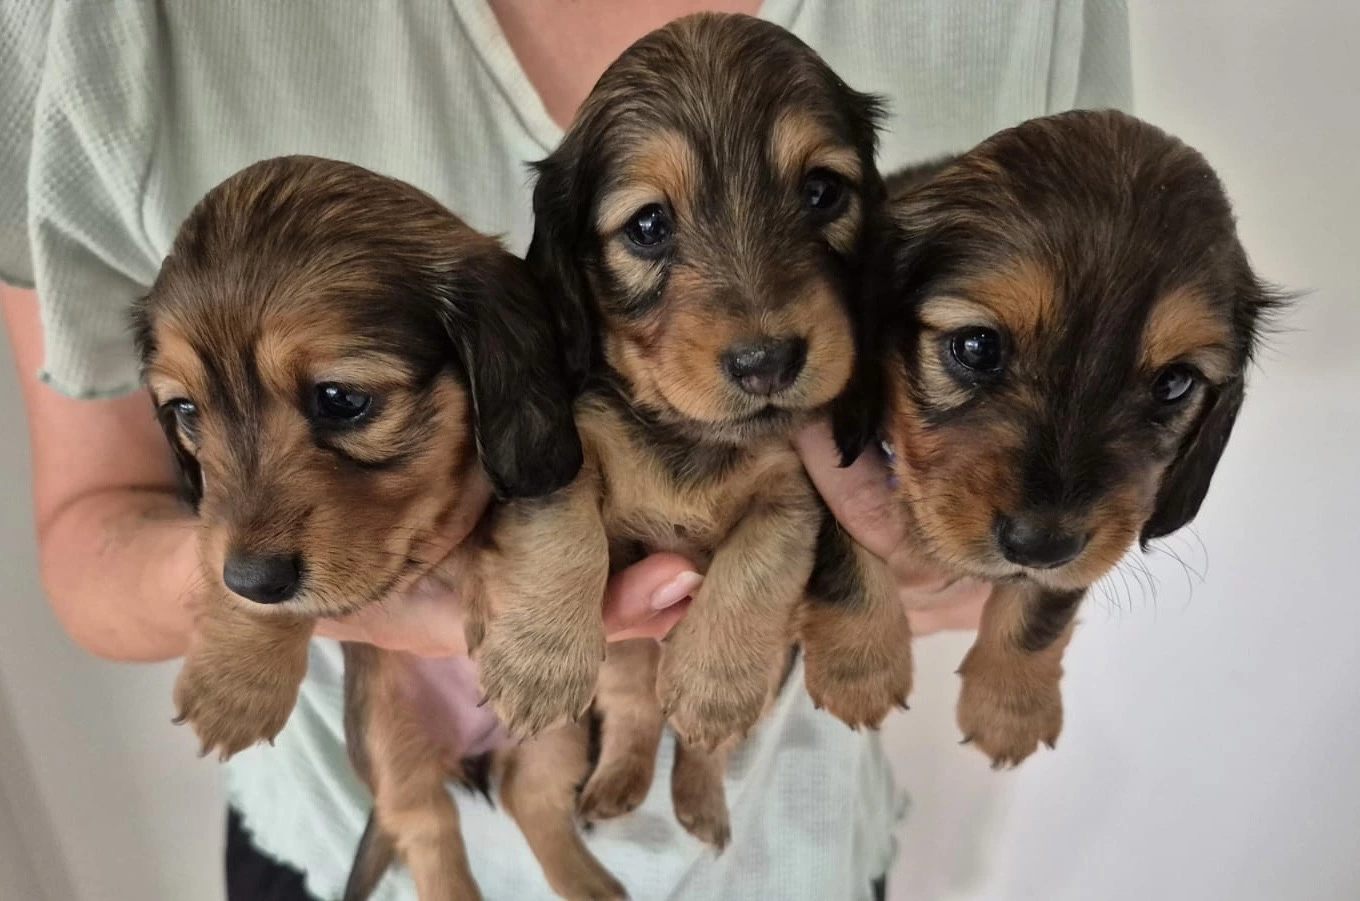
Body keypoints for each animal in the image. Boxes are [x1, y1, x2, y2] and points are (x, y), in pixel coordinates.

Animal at [134, 155, 627, 900]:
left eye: (341, 398)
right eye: (186, 411)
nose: (255, 581)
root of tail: (470, 744)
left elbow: (541, 517)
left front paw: (534, 644)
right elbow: (221, 548)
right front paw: (236, 680)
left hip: (554, 738)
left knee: (532, 800)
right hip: (389, 743)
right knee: (429, 833)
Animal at [460, 12, 911, 850]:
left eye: (822, 191)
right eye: (648, 224)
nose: (767, 362)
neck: (691, 434)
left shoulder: (794, 491)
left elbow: (757, 566)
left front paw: (713, 681)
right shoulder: (567, 449)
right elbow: (565, 530)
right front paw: (538, 661)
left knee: (701, 746)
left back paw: (700, 797)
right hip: (628, 654)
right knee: (637, 711)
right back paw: (615, 785)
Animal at [851, 109, 1285, 768]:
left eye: (1175, 384)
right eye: (977, 346)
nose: (1039, 546)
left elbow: (1044, 608)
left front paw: (1009, 706)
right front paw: (860, 667)